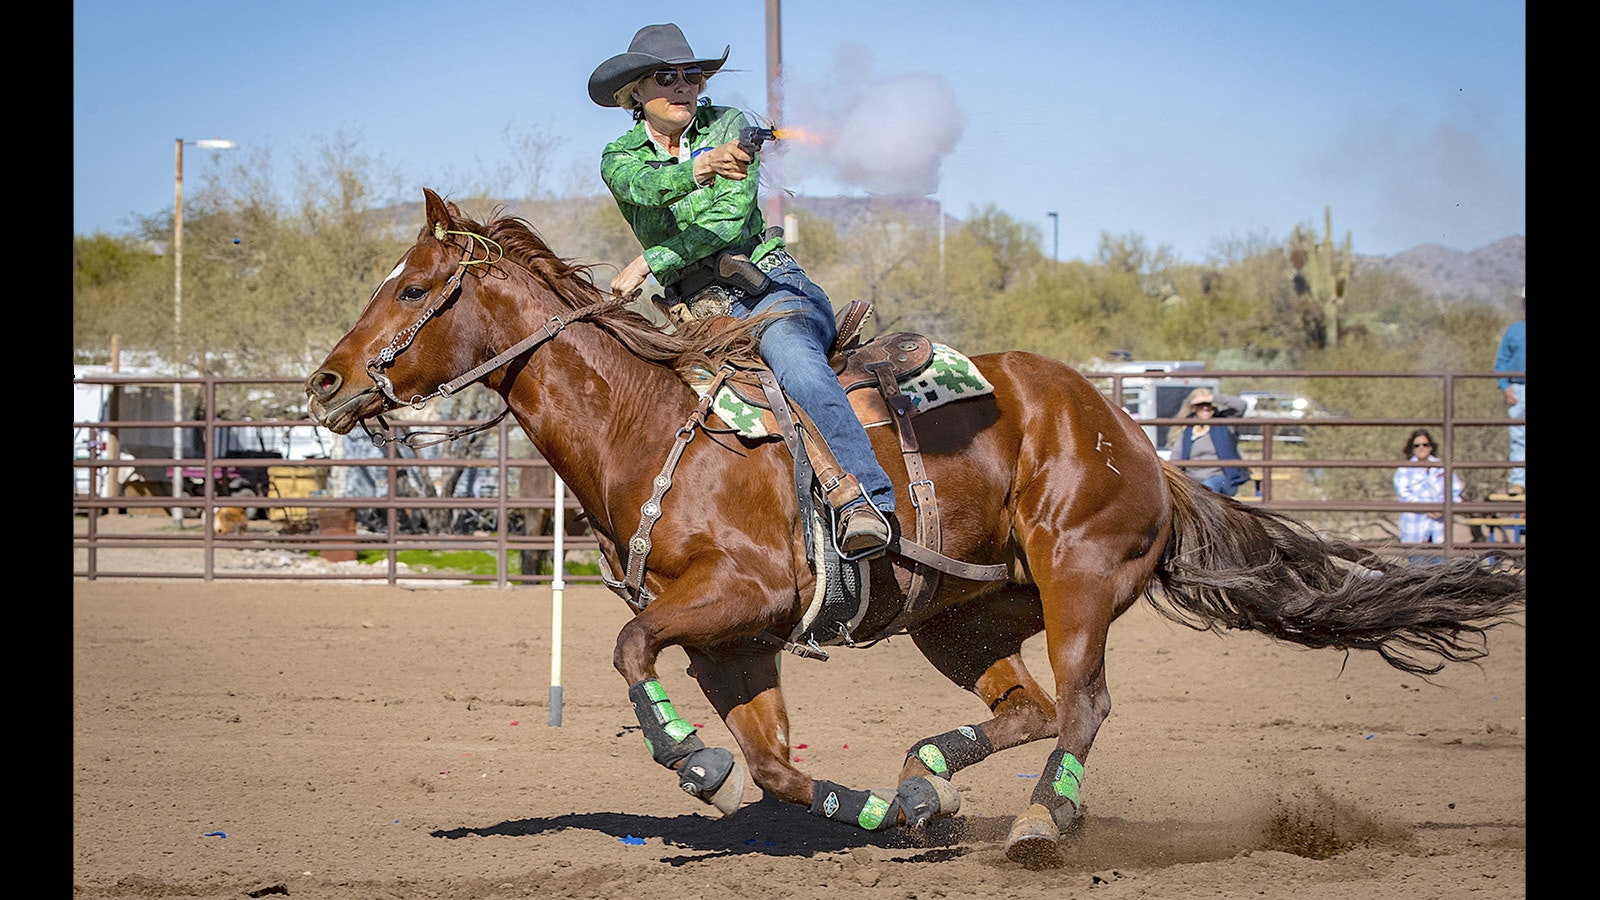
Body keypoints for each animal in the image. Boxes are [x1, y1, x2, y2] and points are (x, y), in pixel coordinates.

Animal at [306, 189, 1524, 866]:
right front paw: (876, 810)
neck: (651, 430)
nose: (325, 382)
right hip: (961, 618)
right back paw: (928, 782)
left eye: (411, 289)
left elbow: (628, 647)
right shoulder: (734, 644)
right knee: (1031, 707)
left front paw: (694, 766)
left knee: (1083, 706)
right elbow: (779, 768)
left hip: (1079, 577)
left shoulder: (739, 600)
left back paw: (1039, 827)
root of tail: (1132, 439)